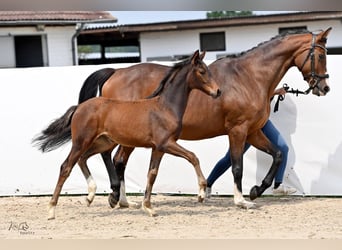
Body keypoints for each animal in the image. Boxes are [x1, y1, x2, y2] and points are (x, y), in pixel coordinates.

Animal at [69, 28, 332, 209]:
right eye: (320, 55)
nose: (324, 87)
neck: (249, 76)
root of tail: (116, 72)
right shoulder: (238, 130)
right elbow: (237, 166)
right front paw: (241, 200)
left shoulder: (253, 132)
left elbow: (277, 154)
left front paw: (256, 190)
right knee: (115, 159)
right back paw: (117, 197)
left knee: (116, 159)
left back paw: (122, 200)